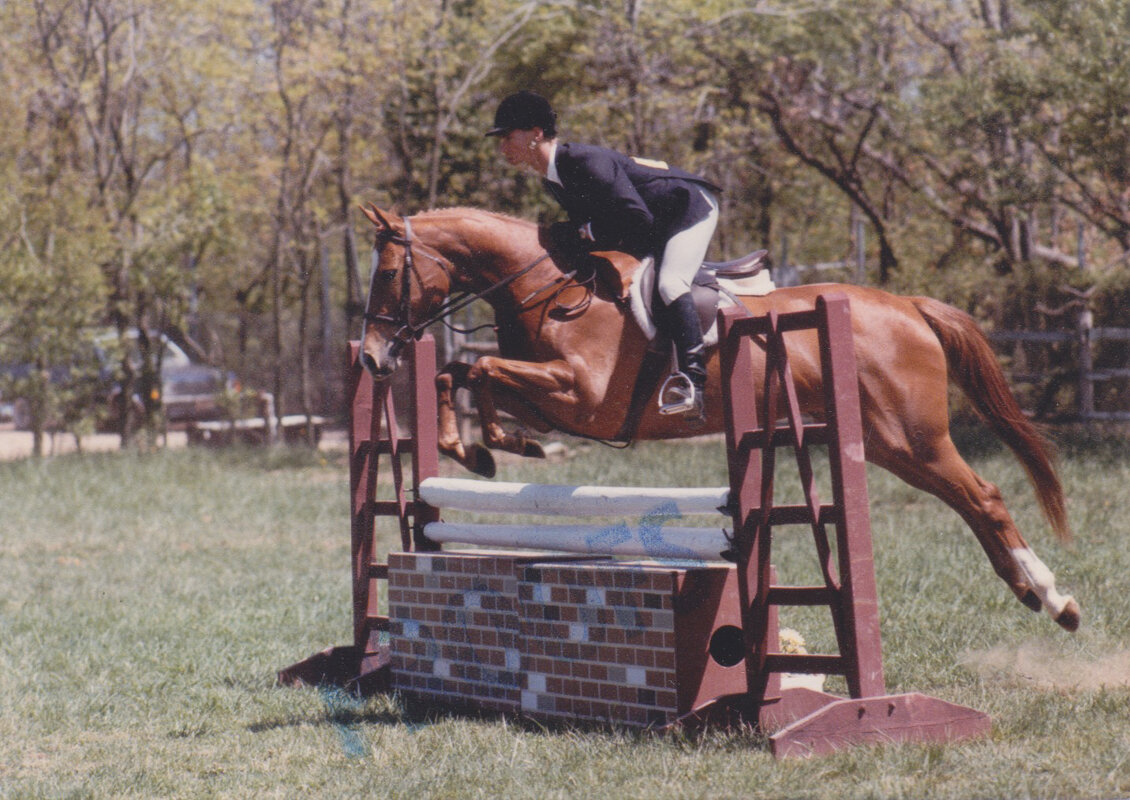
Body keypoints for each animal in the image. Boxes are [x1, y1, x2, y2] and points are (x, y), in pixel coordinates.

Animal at [359, 204, 1075, 632]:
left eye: (388, 273)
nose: (370, 356)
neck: (549, 289)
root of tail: (908, 306)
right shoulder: (557, 398)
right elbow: (460, 375)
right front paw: (487, 447)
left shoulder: (584, 398)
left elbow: (479, 369)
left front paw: (485, 446)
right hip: (888, 444)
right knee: (971, 501)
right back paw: (1030, 592)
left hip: (913, 438)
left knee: (984, 495)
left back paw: (1053, 597)